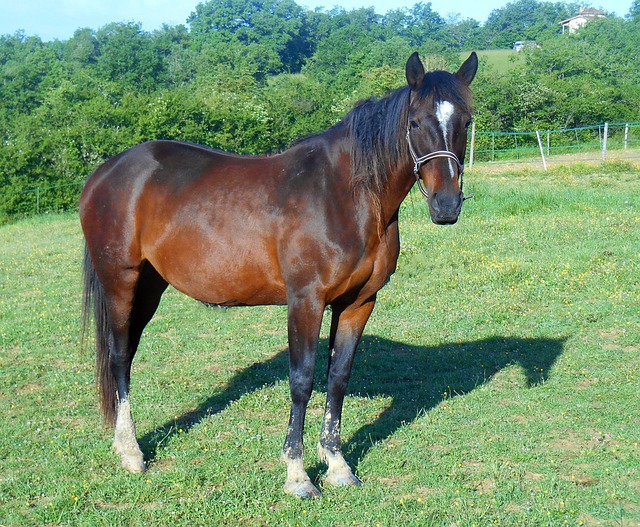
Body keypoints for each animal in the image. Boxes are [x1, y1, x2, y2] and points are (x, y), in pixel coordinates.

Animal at [80, 52, 478, 500]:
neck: (345, 195)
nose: (447, 206)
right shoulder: (305, 300)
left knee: (128, 354)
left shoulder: (358, 303)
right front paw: (298, 475)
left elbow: (338, 378)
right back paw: (131, 452)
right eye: (415, 123)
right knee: (119, 357)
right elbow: (302, 380)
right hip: (121, 282)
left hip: (150, 286)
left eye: (466, 121)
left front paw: (337, 464)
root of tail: (105, 174)